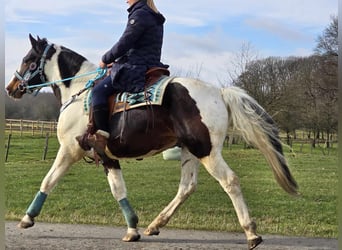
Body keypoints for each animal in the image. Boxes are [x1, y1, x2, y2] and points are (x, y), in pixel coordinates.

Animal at [6, 34, 298, 250]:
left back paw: (251, 233)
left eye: (28, 59)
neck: (79, 90)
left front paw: (27, 218)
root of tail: (219, 92)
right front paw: (133, 228)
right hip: (189, 151)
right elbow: (119, 190)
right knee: (187, 187)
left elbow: (49, 180)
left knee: (230, 181)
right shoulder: (107, 156)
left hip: (207, 151)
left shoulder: (69, 150)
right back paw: (156, 224)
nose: (11, 88)